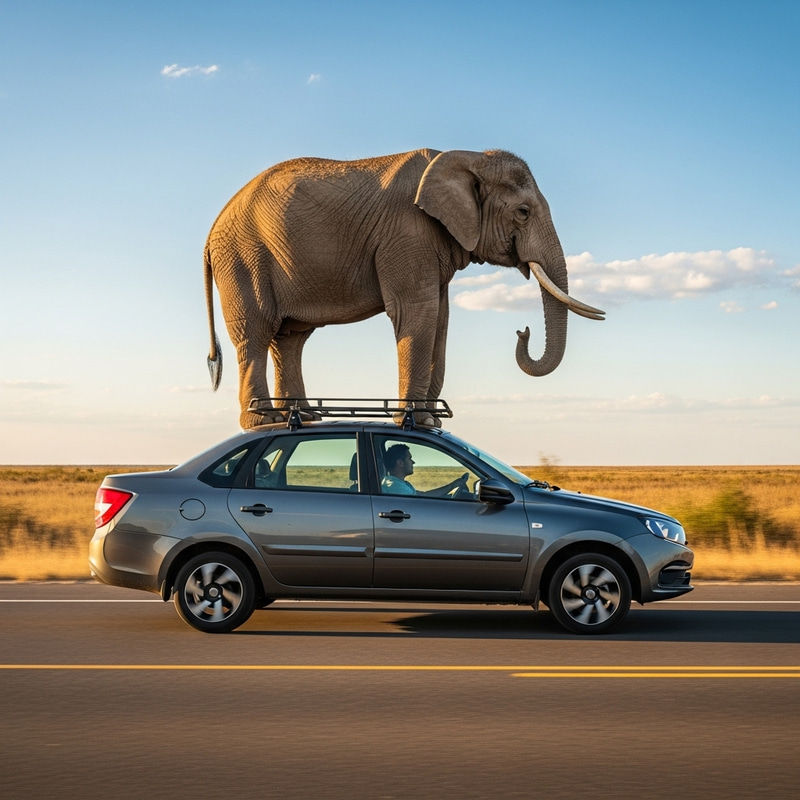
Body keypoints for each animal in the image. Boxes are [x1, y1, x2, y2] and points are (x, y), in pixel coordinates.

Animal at [204, 148, 604, 429]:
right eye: (523, 212)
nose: (523, 331)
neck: (468, 157)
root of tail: (210, 233)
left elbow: (440, 319)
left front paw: (429, 419)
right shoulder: (408, 233)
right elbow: (418, 313)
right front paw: (420, 419)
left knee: (290, 338)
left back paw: (305, 417)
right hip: (243, 258)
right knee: (256, 332)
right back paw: (265, 421)